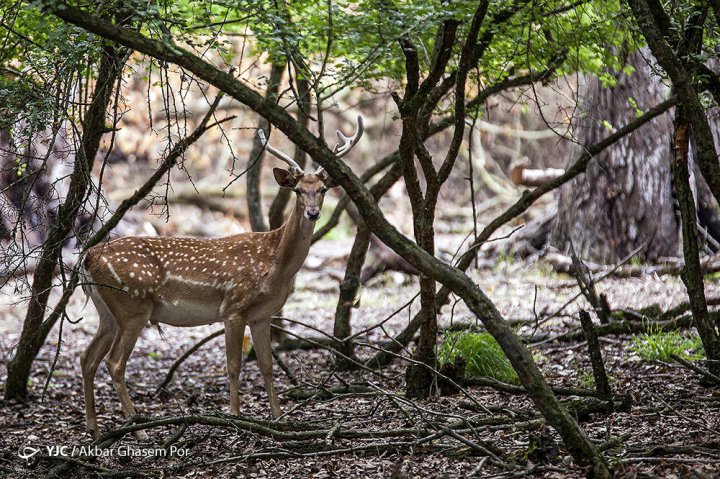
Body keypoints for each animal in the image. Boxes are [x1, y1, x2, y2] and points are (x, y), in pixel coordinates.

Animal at [79, 116, 362, 438]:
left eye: (323, 189)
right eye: (298, 190)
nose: (313, 213)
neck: (274, 264)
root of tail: (87, 257)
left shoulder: (262, 314)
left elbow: (266, 365)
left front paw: (278, 418)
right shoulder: (233, 307)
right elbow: (233, 365)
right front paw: (236, 417)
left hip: (108, 312)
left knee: (87, 358)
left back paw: (94, 428)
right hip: (133, 307)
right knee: (114, 363)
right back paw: (139, 429)